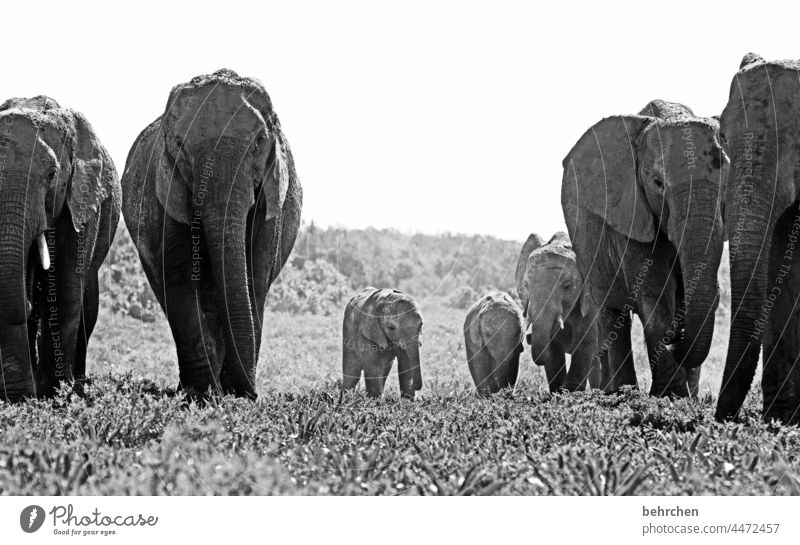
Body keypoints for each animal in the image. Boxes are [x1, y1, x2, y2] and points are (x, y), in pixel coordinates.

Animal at [120, 69, 302, 400]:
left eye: (259, 141)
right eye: (179, 145)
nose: (248, 394)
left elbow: (254, 276)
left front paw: (233, 391)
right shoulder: (166, 188)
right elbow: (181, 276)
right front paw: (203, 394)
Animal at [520, 230, 600, 392]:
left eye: (567, 286)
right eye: (526, 285)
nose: (529, 338)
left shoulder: (590, 303)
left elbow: (585, 343)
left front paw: (570, 393)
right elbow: (553, 349)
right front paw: (558, 393)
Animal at [560, 99, 728, 396]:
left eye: (727, 175)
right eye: (657, 183)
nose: (676, 342)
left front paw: (685, 397)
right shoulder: (631, 215)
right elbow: (654, 294)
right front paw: (670, 395)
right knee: (610, 312)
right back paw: (621, 393)